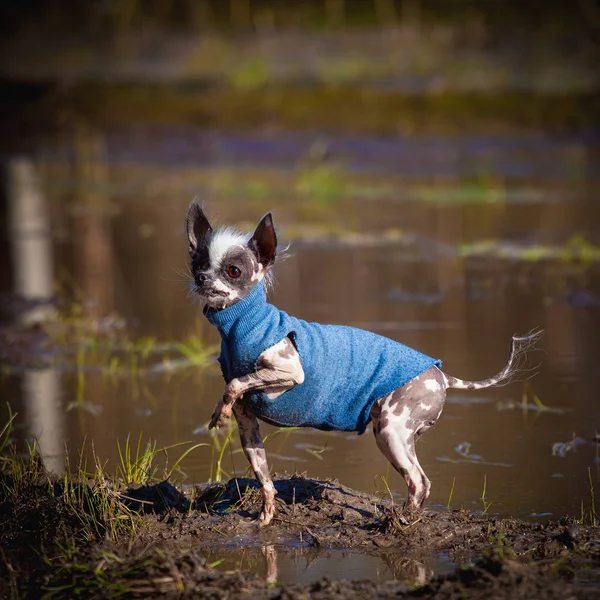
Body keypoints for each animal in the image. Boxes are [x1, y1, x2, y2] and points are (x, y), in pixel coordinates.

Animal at [186, 204, 540, 524]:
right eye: (197, 264)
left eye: (233, 270)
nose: (202, 278)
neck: (243, 325)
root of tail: (441, 375)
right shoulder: (249, 426)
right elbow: (265, 478)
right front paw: (265, 518)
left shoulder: (289, 372)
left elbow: (237, 382)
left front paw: (220, 411)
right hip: (399, 435)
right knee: (421, 482)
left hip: (390, 430)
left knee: (419, 481)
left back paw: (398, 522)